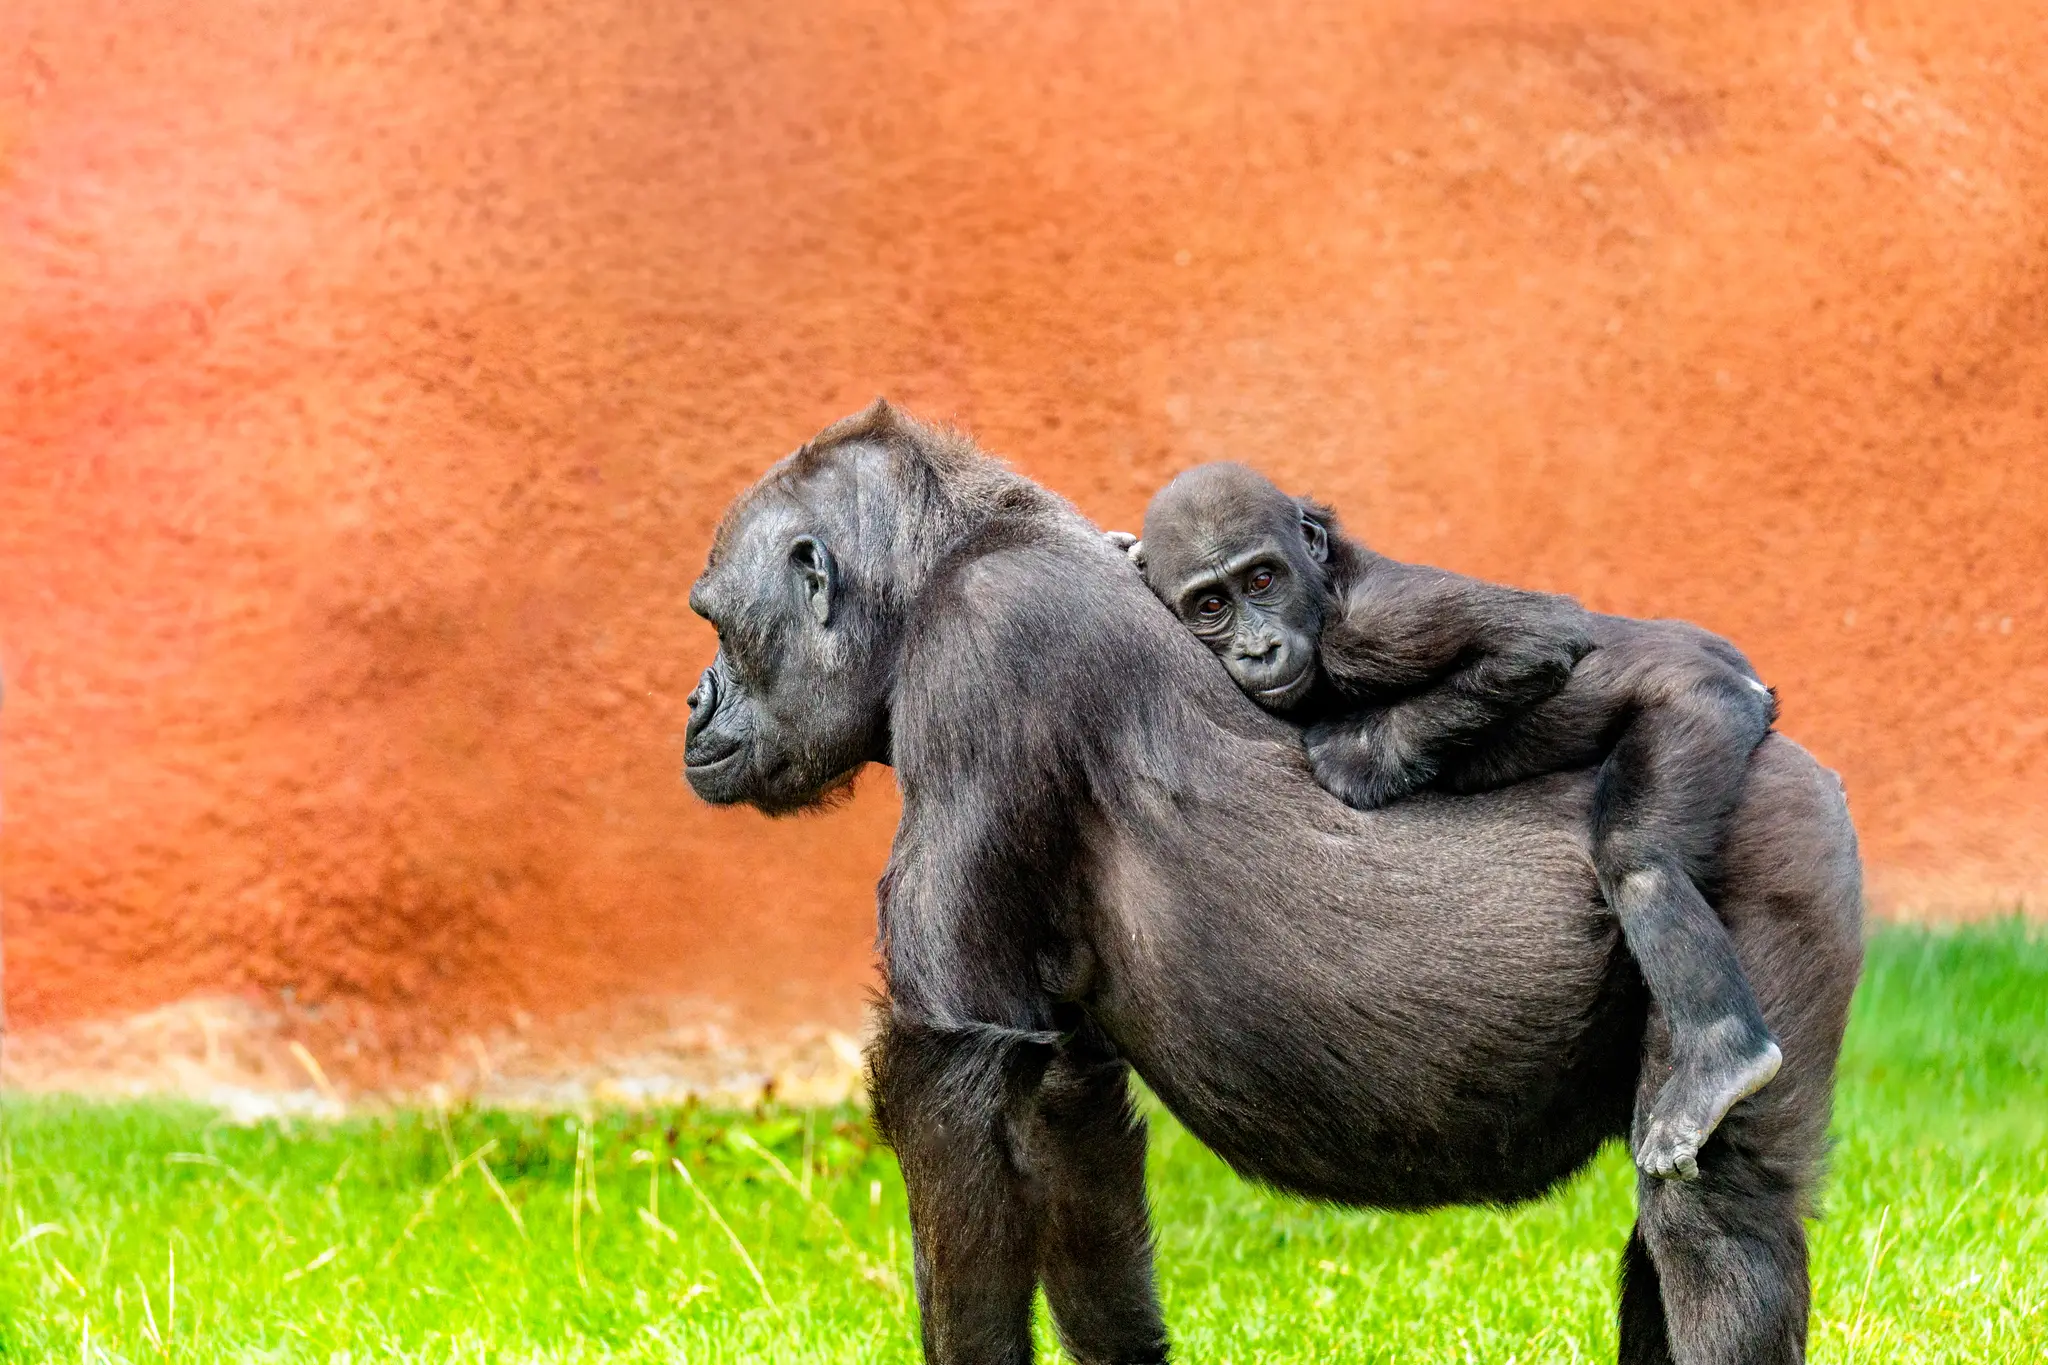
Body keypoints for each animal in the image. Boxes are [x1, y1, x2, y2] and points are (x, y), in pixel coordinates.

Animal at [1123, 461, 1785, 1182]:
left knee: (1642, 864)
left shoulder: (1379, 623)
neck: (1324, 588)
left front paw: (1361, 756)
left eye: (1262, 580)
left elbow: (1534, 639)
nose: (1258, 647)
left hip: (1707, 705)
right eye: (1211, 606)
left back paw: (1724, 1057)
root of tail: (1743, 671)